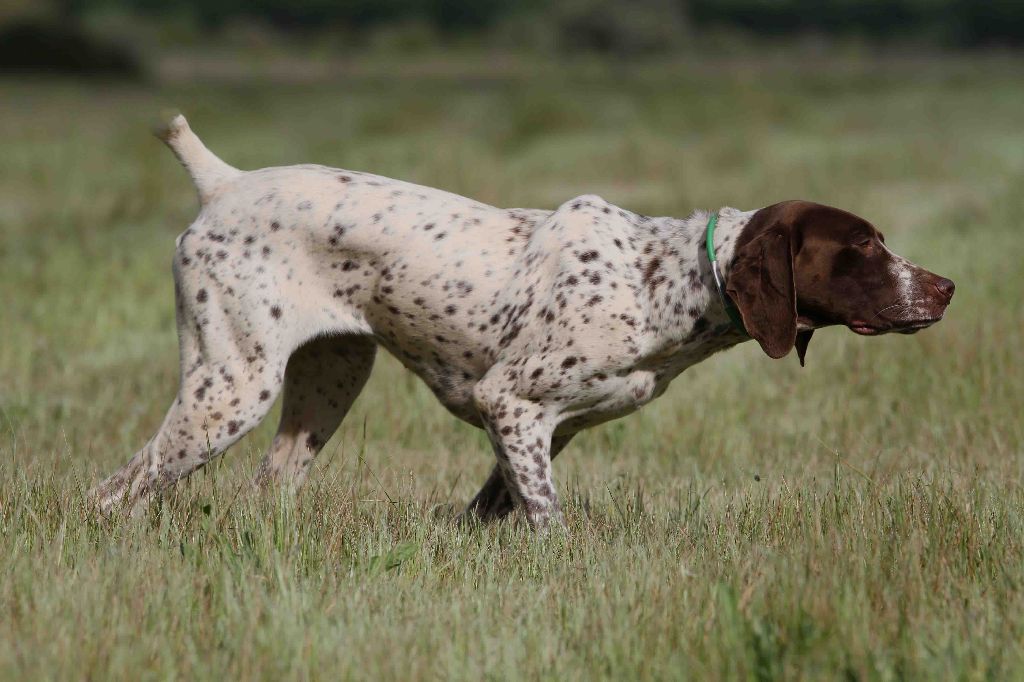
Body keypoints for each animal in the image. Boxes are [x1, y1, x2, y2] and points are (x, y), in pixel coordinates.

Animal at [92, 116, 954, 528]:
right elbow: (548, 523)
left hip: (327, 384)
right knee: (114, 493)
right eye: (866, 245)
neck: (664, 282)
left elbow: (491, 512)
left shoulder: (549, 430)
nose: (945, 287)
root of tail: (222, 182)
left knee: (265, 488)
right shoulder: (511, 405)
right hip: (230, 389)